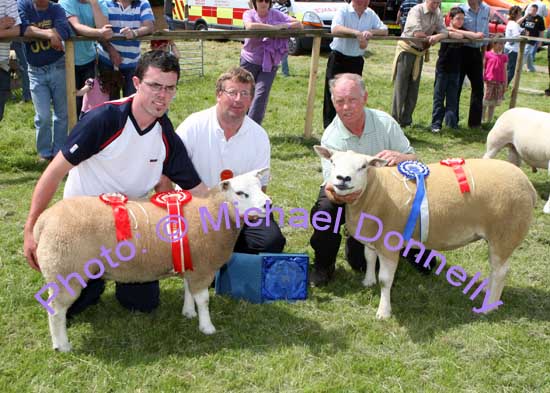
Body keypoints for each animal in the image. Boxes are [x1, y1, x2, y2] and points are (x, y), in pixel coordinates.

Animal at [32, 168, 270, 350]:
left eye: (260, 187)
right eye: (240, 193)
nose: (268, 204)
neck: (213, 212)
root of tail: (43, 220)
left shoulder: (189, 262)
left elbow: (188, 290)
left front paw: (188, 312)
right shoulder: (203, 267)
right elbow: (203, 300)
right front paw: (207, 327)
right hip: (65, 270)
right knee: (56, 311)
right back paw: (62, 345)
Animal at [316, 145, 536, 320]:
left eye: (363, 166)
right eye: (333, 162)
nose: (343, 178)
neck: (375, 191)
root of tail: (527, 182)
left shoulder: (389, 242)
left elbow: (386, 280)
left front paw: (384, 312)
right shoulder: (373, 235)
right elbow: (369, 257)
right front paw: (368, 281)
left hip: (504, 235)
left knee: (500, 271)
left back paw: (489, 307)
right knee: (496, 270)